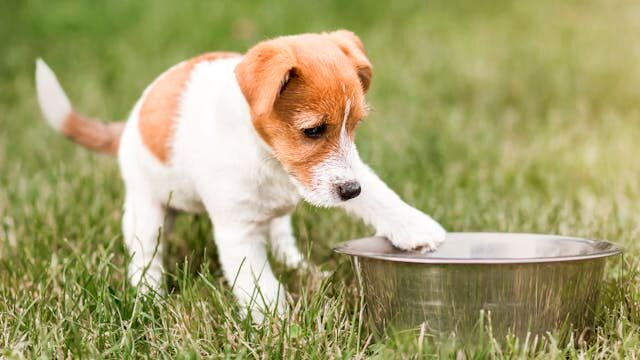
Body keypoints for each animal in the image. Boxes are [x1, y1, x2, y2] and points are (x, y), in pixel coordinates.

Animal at [35, 30, 444, 318]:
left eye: (355, 125)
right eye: (313, 130)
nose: (349, 192)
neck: (271, 159)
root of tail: (127, 126)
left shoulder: (344, 172)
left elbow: (379, 195)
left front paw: (415, 228)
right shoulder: (238, 231)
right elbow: (258, 283)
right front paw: (279, 324)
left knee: (280, 235)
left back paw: (300, 266)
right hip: (145, 209)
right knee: (145, 256)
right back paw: (149, 298)